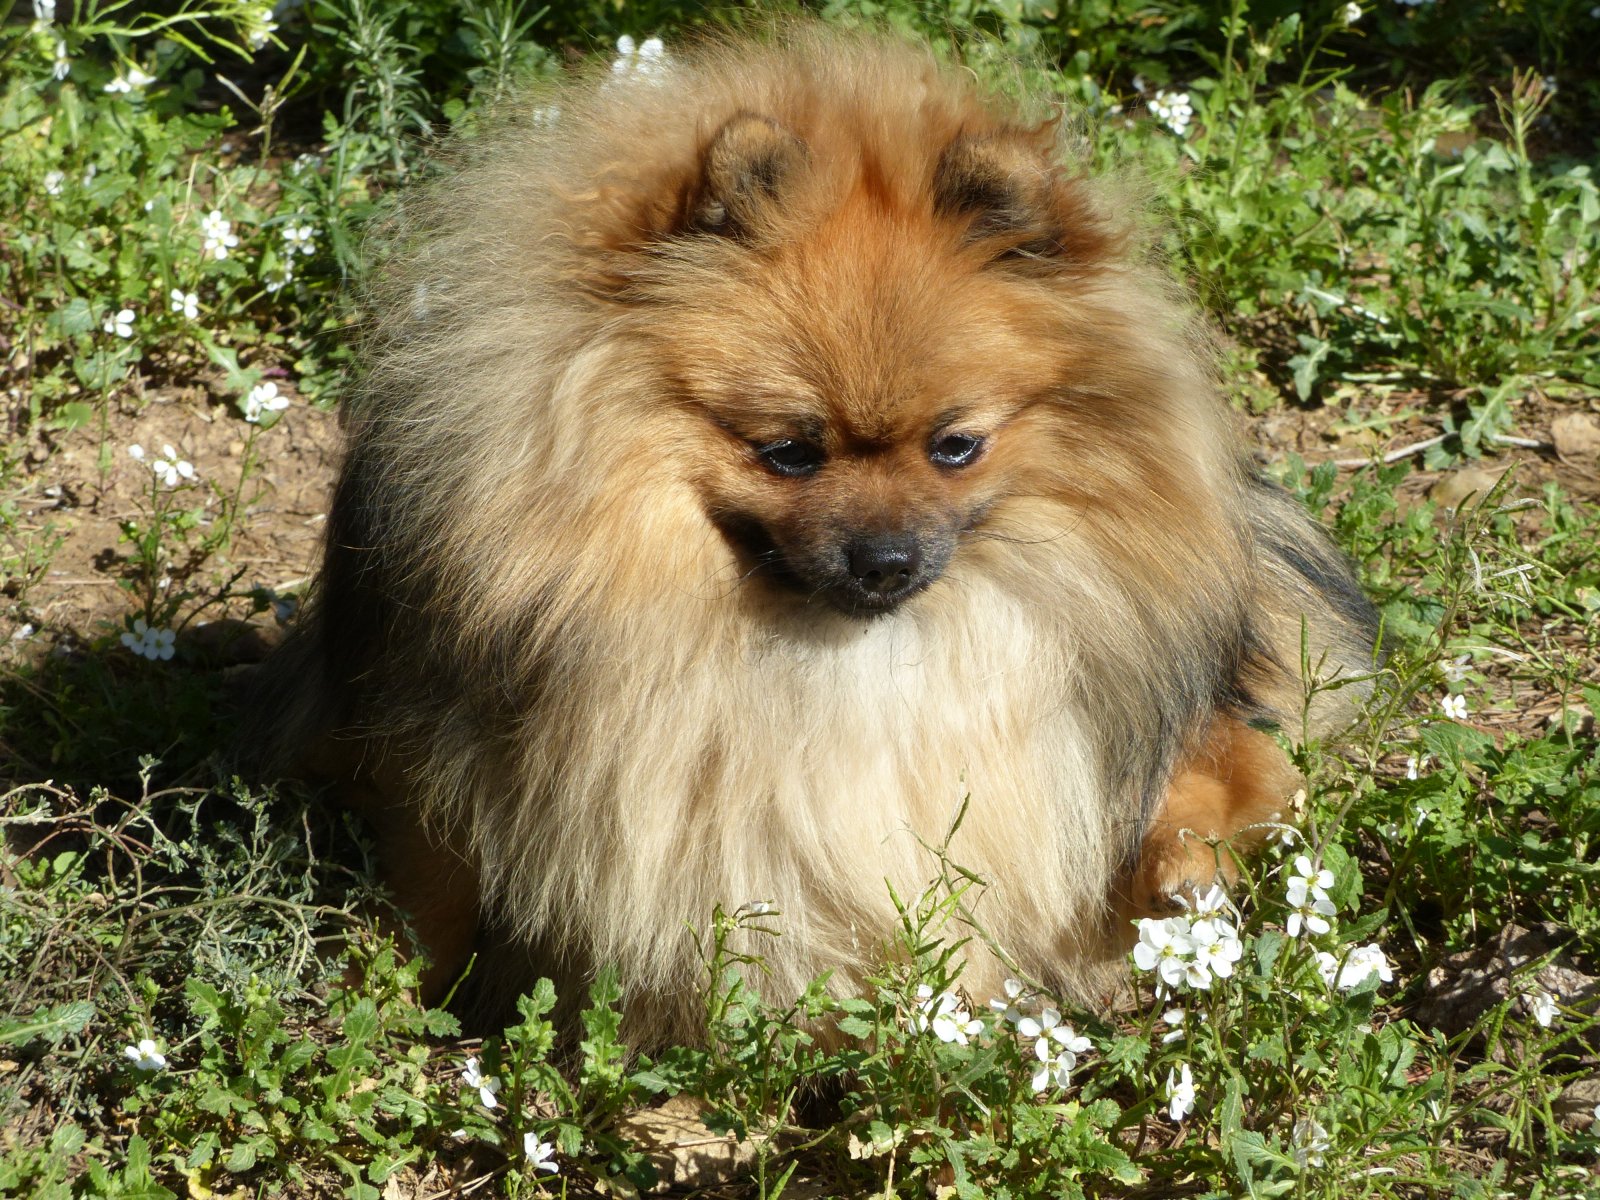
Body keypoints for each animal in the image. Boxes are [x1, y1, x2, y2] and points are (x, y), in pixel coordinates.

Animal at [256, 23, 1382, 1049]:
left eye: (957, 447)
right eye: (790, 452)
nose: (885, 561)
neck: (846, 671)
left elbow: (1220, 782)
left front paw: (1174, 883)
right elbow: (434, 889)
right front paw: (391, 1004)